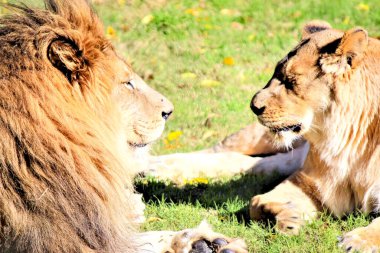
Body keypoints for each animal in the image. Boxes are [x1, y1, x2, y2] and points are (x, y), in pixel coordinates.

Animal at [249, 20, 380, 252]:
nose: (253, 106)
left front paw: (357, 240)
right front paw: (288, 214)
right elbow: (254, 202)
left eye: (290, 81)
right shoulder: (312, 181)